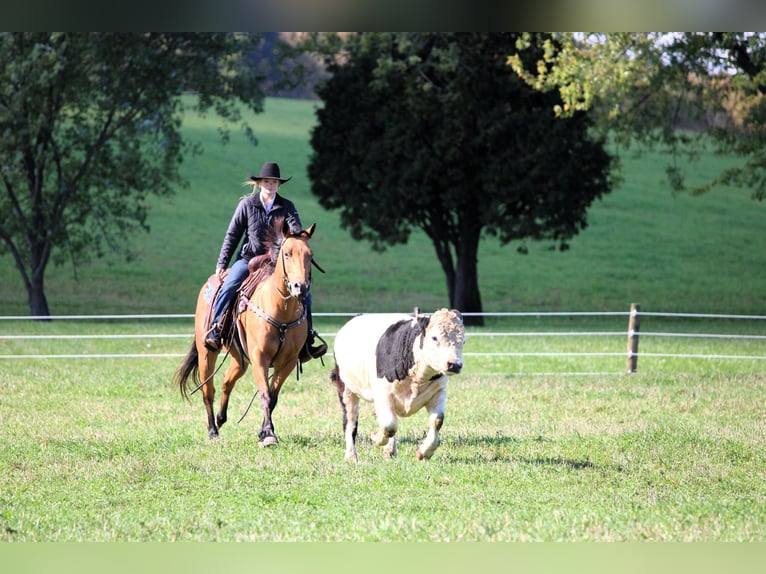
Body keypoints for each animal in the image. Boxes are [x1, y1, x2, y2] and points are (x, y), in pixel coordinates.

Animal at [174, 218, 316, 446]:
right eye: (287, 253)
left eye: (309, 255)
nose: (300, 288)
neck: (281, 312)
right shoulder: (260, 358)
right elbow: (265, 394)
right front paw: (268, 434)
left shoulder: (288, 361)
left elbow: (273, 397)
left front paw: (264, 431)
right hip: (206, 354)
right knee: (208, 390)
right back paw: (212, 430)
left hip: (240, 358)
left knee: (226, 381)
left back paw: (220, 419)